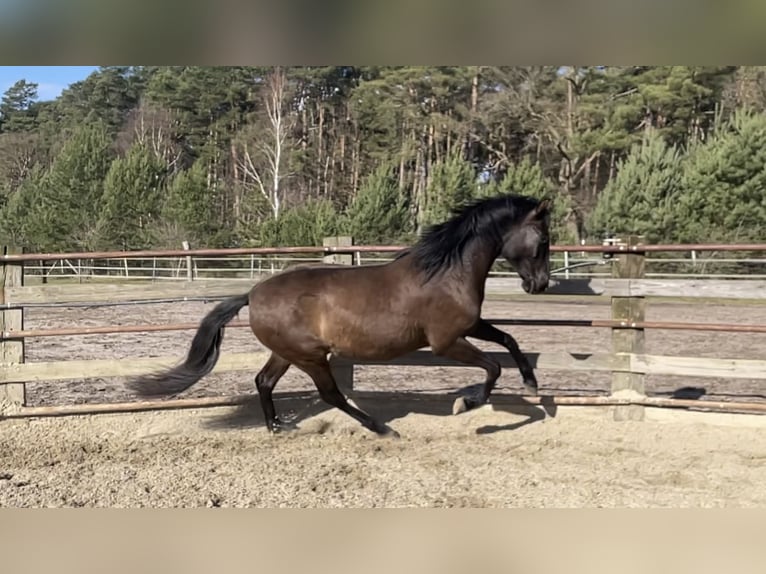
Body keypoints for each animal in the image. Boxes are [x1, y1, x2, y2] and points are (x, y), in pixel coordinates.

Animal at [127, 194, 552, 437]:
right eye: (544, 239)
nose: (541, 284)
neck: (446, 272)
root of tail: (251, 294)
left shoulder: (470, 326)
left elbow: (509, 340)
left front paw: (531, 385)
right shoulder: (446, 341)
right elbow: (492, 368)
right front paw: (467, 403)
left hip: (286, 353)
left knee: (264, 381)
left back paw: (278, 427)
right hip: (311, 356)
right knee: (329, 394)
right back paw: (381, 429)